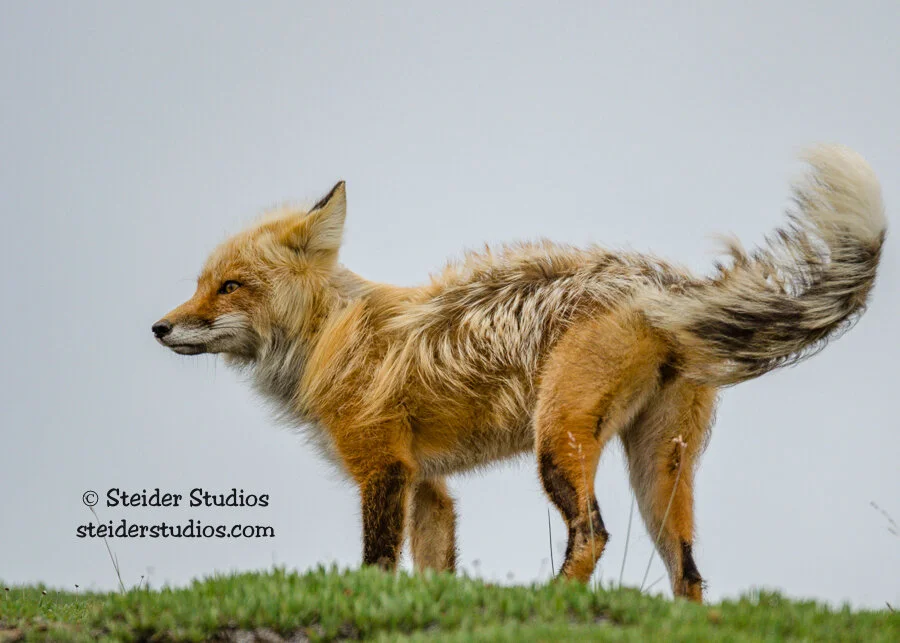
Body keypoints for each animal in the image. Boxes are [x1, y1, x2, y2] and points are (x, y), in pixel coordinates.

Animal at [154, 145, 885, 602]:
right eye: (200, 284)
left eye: (230, 286)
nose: (158, 328)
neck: (332, 337)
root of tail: (655, 281)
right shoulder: (429, 484)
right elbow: (433, 571)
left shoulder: (382, 470)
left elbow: (377, 567)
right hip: (660, 472)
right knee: (690, 575)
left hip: (556, 441)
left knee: (593, 534)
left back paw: (555, 602)